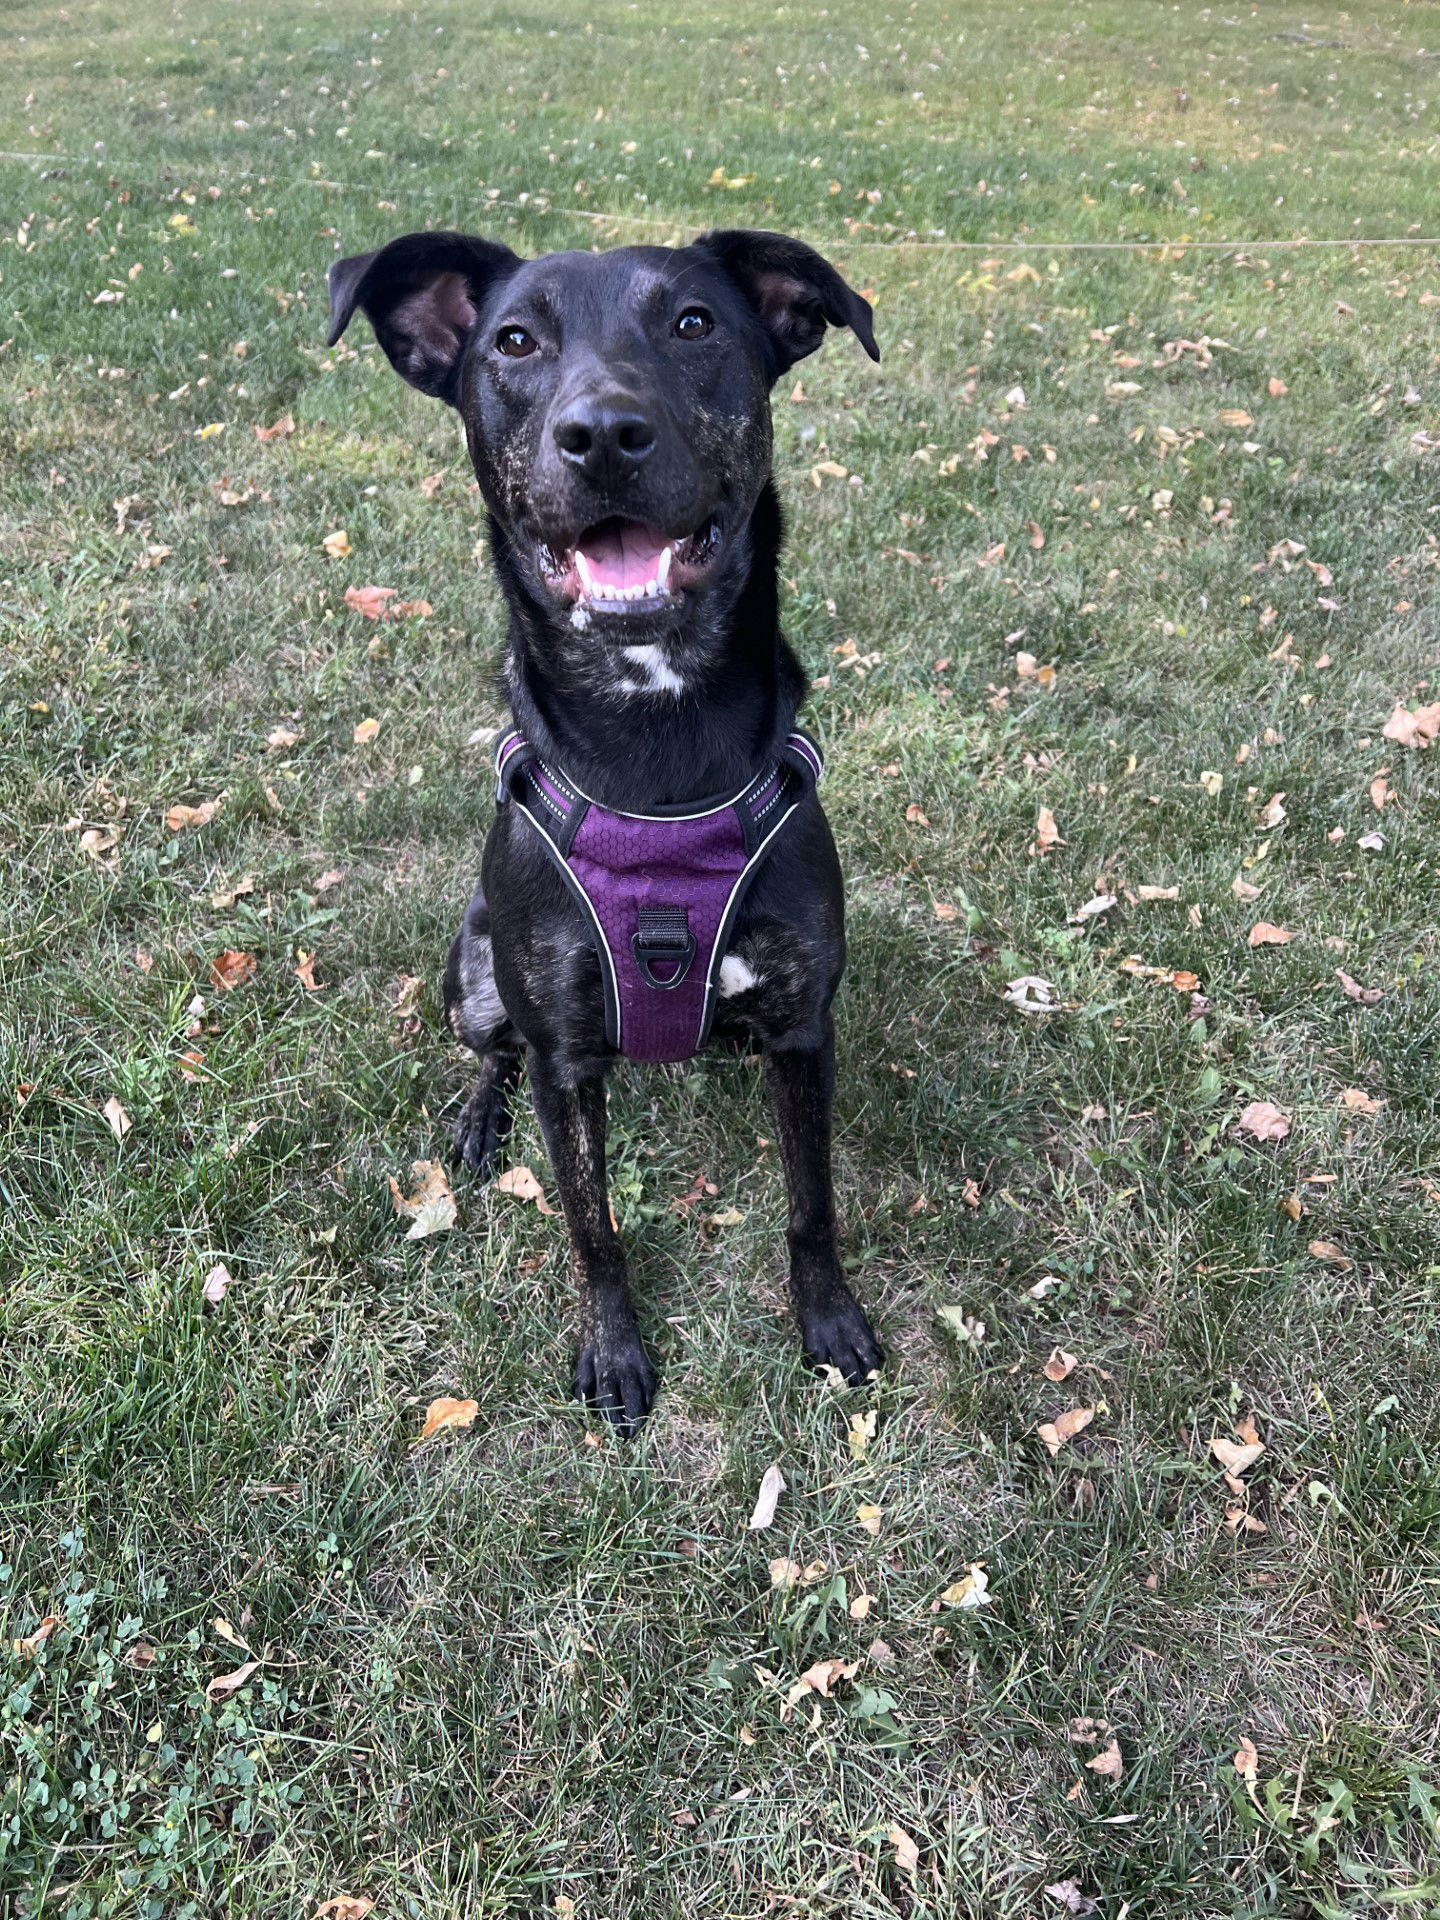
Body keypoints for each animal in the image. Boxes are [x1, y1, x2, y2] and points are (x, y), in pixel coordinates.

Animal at [332, 220, 887, 1428]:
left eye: (694, 322)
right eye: (513, 341)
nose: (601, 435)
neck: (655, 748)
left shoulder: (803, 1027)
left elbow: (811, 1202)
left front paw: (827, 1321)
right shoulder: (566, 1052)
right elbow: (593, 1225)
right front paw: (615, 1352)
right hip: (474, 974)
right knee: (491, 1053)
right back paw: (477, 1123)